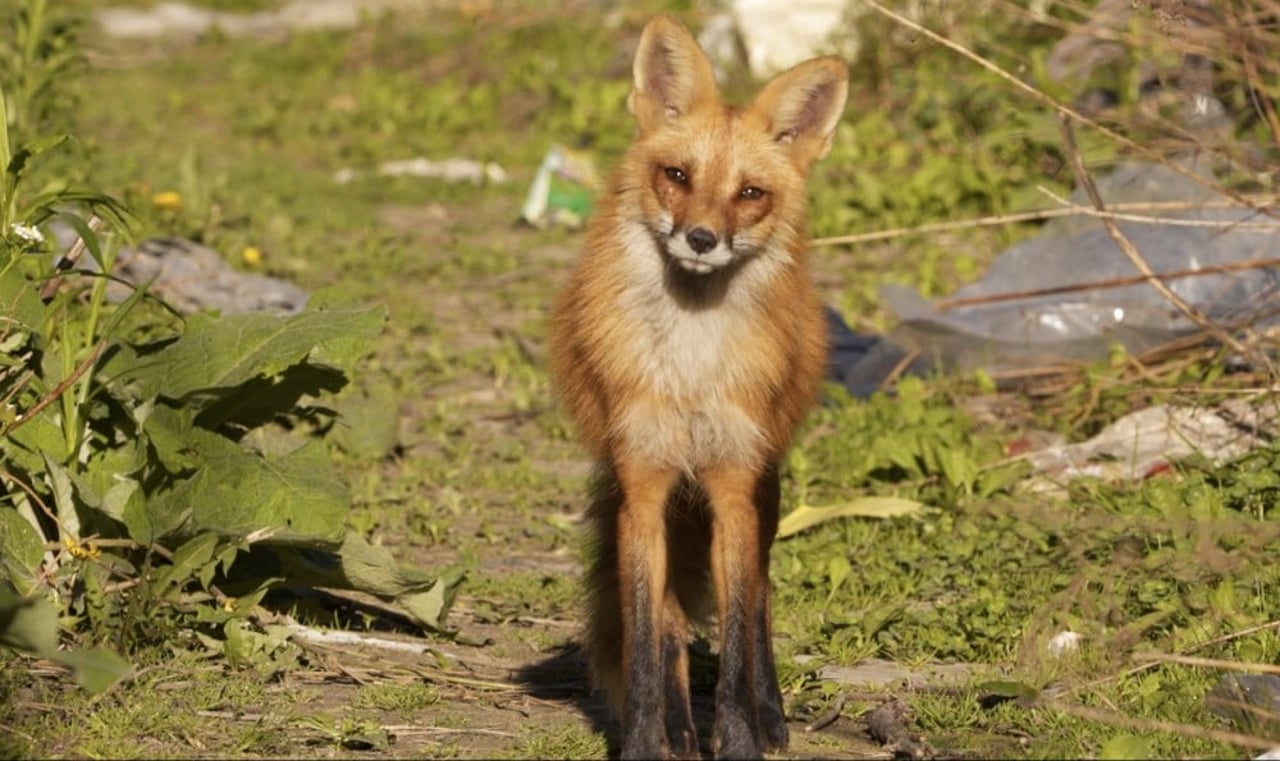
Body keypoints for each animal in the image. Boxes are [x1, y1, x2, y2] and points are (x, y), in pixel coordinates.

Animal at [550, 13, 849, 761]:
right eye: (677, 175)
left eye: (750, 193)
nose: (703, 239)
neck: (689, 367)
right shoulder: (643, 490)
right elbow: (647, 644)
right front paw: (644, 741)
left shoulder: (734, 489)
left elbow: (739, 637)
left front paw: (741, 737)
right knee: (669, 627)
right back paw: (682, 730)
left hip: (763, 490)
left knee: (761, 603)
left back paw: (770, 717)